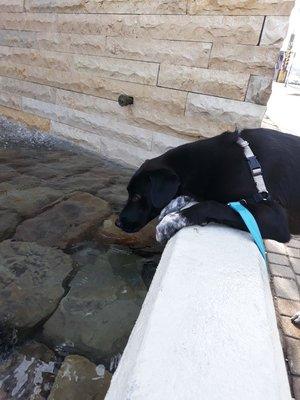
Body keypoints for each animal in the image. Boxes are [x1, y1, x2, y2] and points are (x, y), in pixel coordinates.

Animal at [116, 130, 300, 245]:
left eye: (137, 196)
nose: (118, 223)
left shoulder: (275, 218)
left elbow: (211, 205)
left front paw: (170, 222)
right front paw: (172, 205)